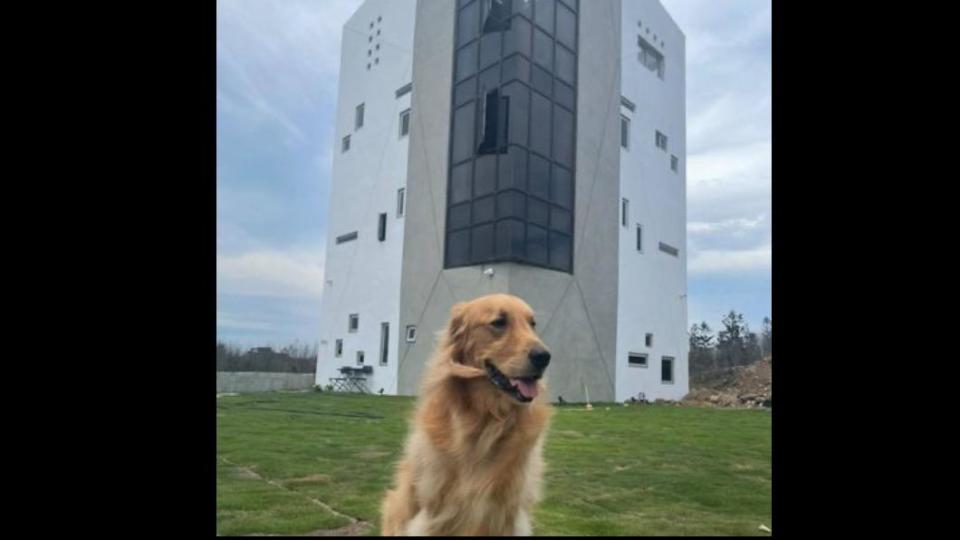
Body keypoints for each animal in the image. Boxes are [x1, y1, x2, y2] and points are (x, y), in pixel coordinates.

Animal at [378, 296, 552, 536]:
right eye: (499, 322)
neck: (486, 418)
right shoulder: (435, 514)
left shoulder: (506, 514)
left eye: (532, 324)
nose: (544, 357)